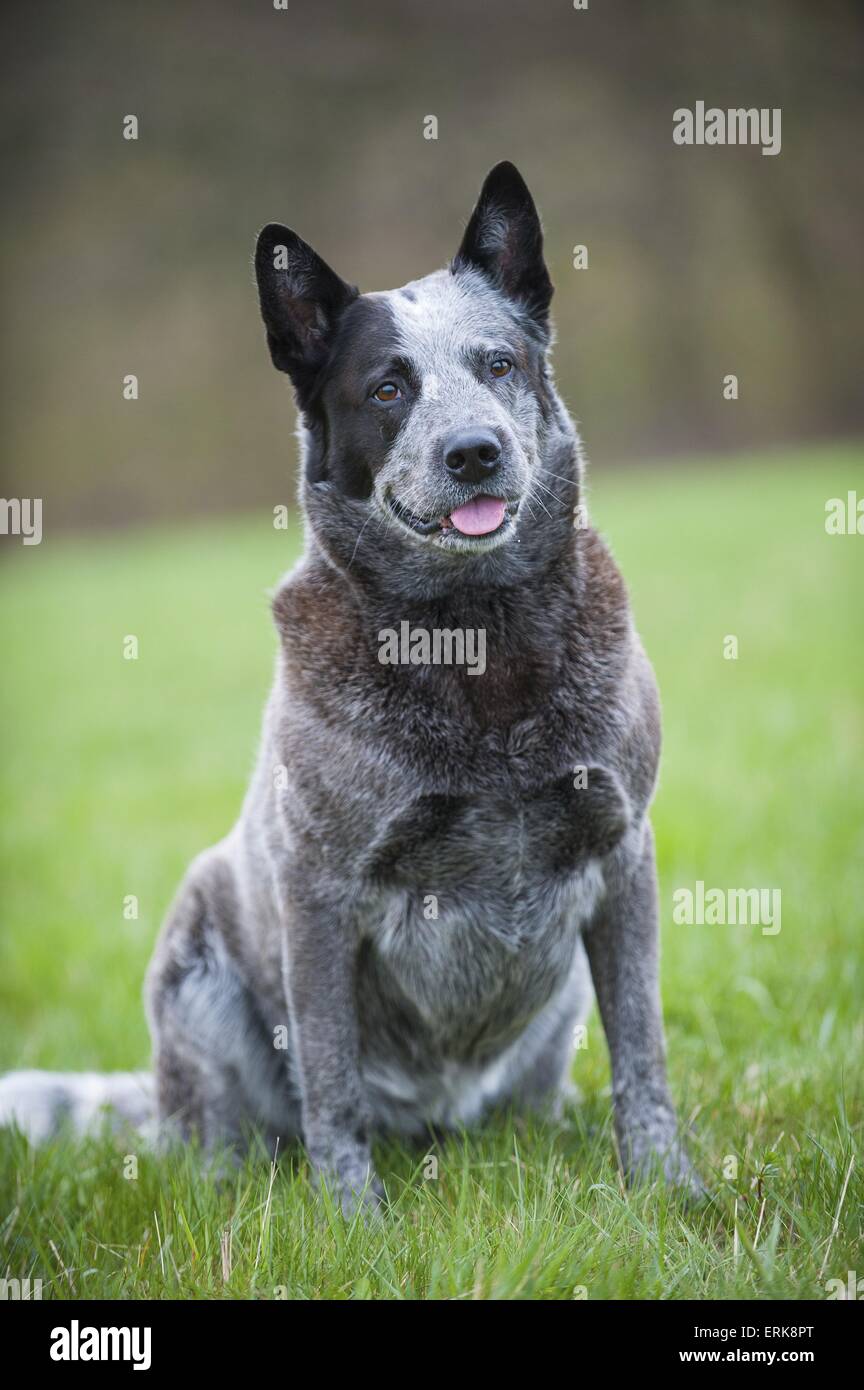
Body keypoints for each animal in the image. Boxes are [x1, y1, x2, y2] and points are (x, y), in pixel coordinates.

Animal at [1, 162, 705, 1212]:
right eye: (387, 388)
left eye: (499, 364)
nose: (474, 451)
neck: (475, 641)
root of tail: (436, 1122)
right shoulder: (320, 892)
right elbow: (330, 1080)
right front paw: (353, 1220)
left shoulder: (623, 853)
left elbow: (644, 1052)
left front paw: (669, 1187)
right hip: (197, 961)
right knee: (225, 1134)